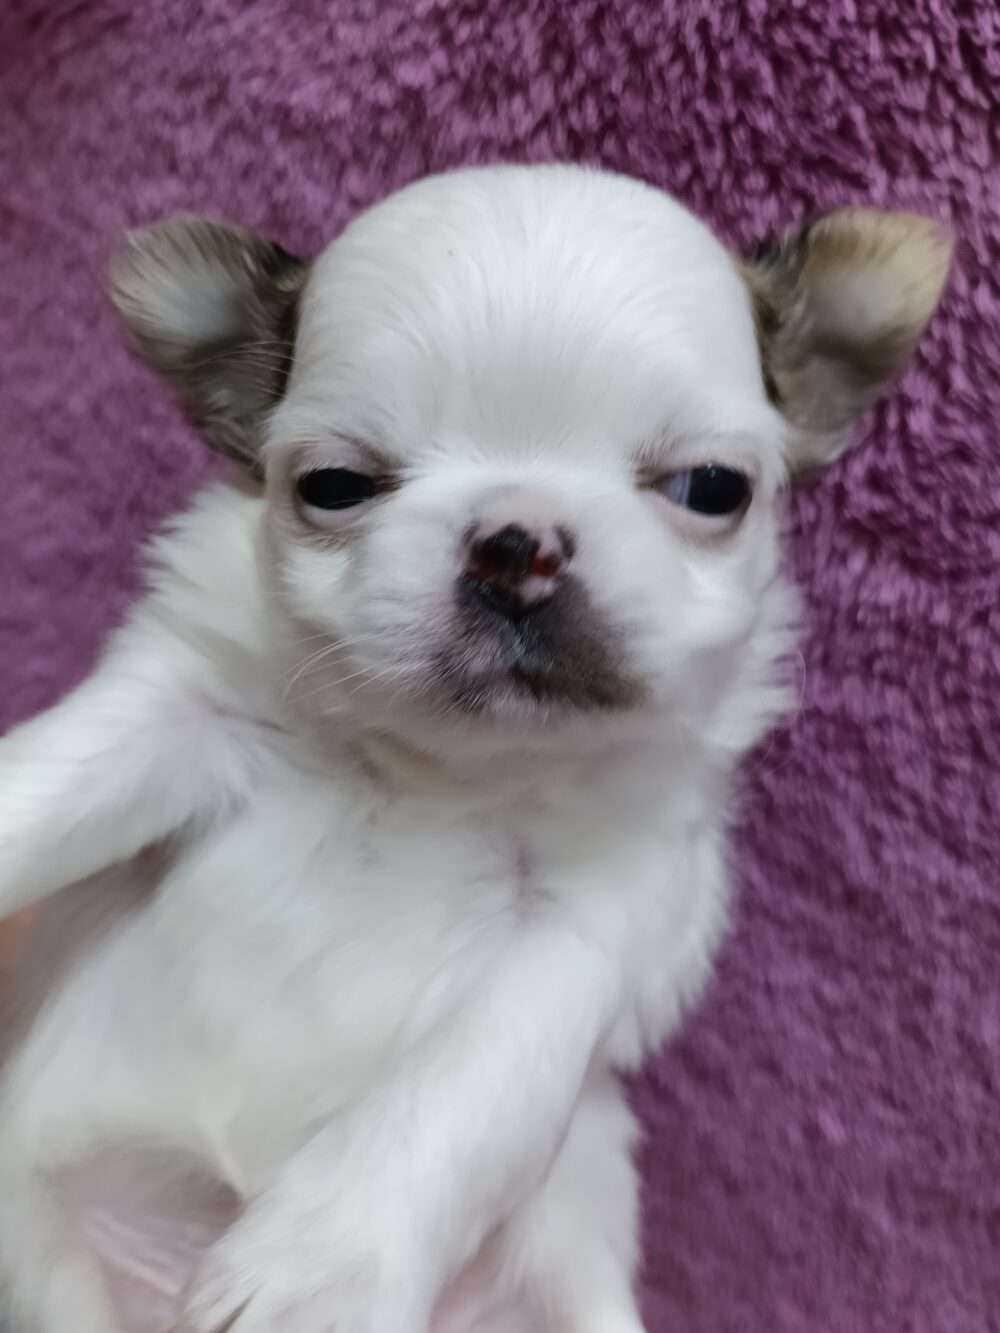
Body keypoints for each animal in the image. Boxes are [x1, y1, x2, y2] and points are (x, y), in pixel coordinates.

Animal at [0, 165, 950, 1333]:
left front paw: (314, 1271)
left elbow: (464, 1082)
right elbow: (47, 788)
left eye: (711, 489)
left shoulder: (593, 920)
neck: (438, 770)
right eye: (333, 484)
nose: (517, 543)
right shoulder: (180, 704)